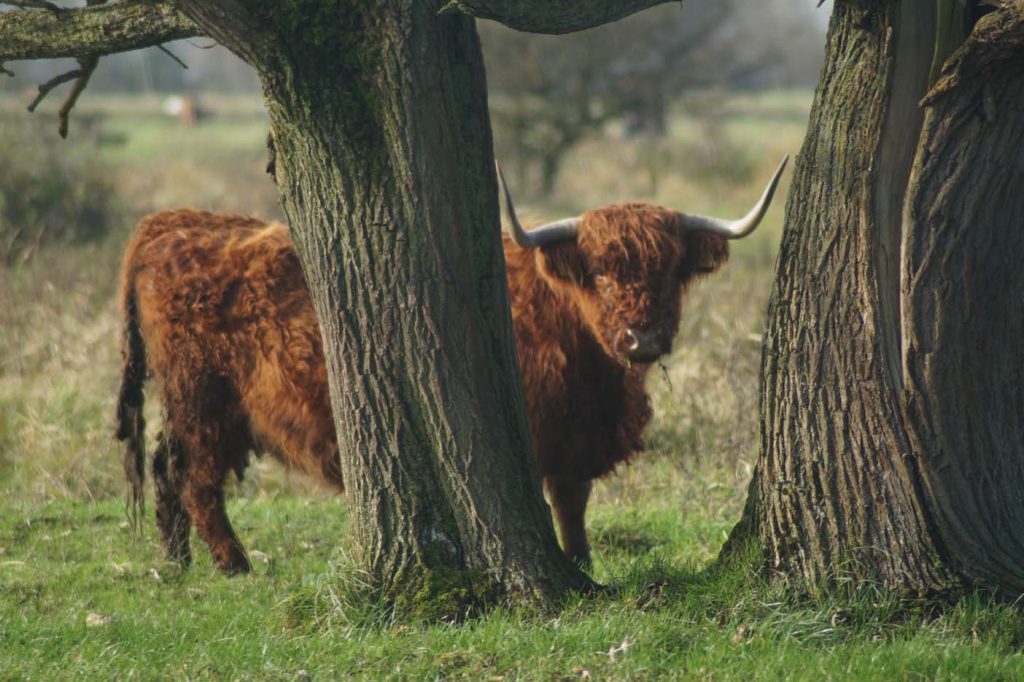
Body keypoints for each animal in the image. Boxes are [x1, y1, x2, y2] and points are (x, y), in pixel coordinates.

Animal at [116, 160, 786, 573]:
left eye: (670, 270)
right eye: (598, 273)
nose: (642, 339)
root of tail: (173, 223)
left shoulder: (574, 438)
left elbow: (573, 503)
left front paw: (580, 562)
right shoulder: (540, 432)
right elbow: (559, 500)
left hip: (194, 402)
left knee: (164, 464)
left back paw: (175, 560)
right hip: (204, 397)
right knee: (194, 475)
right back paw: (234, 564)